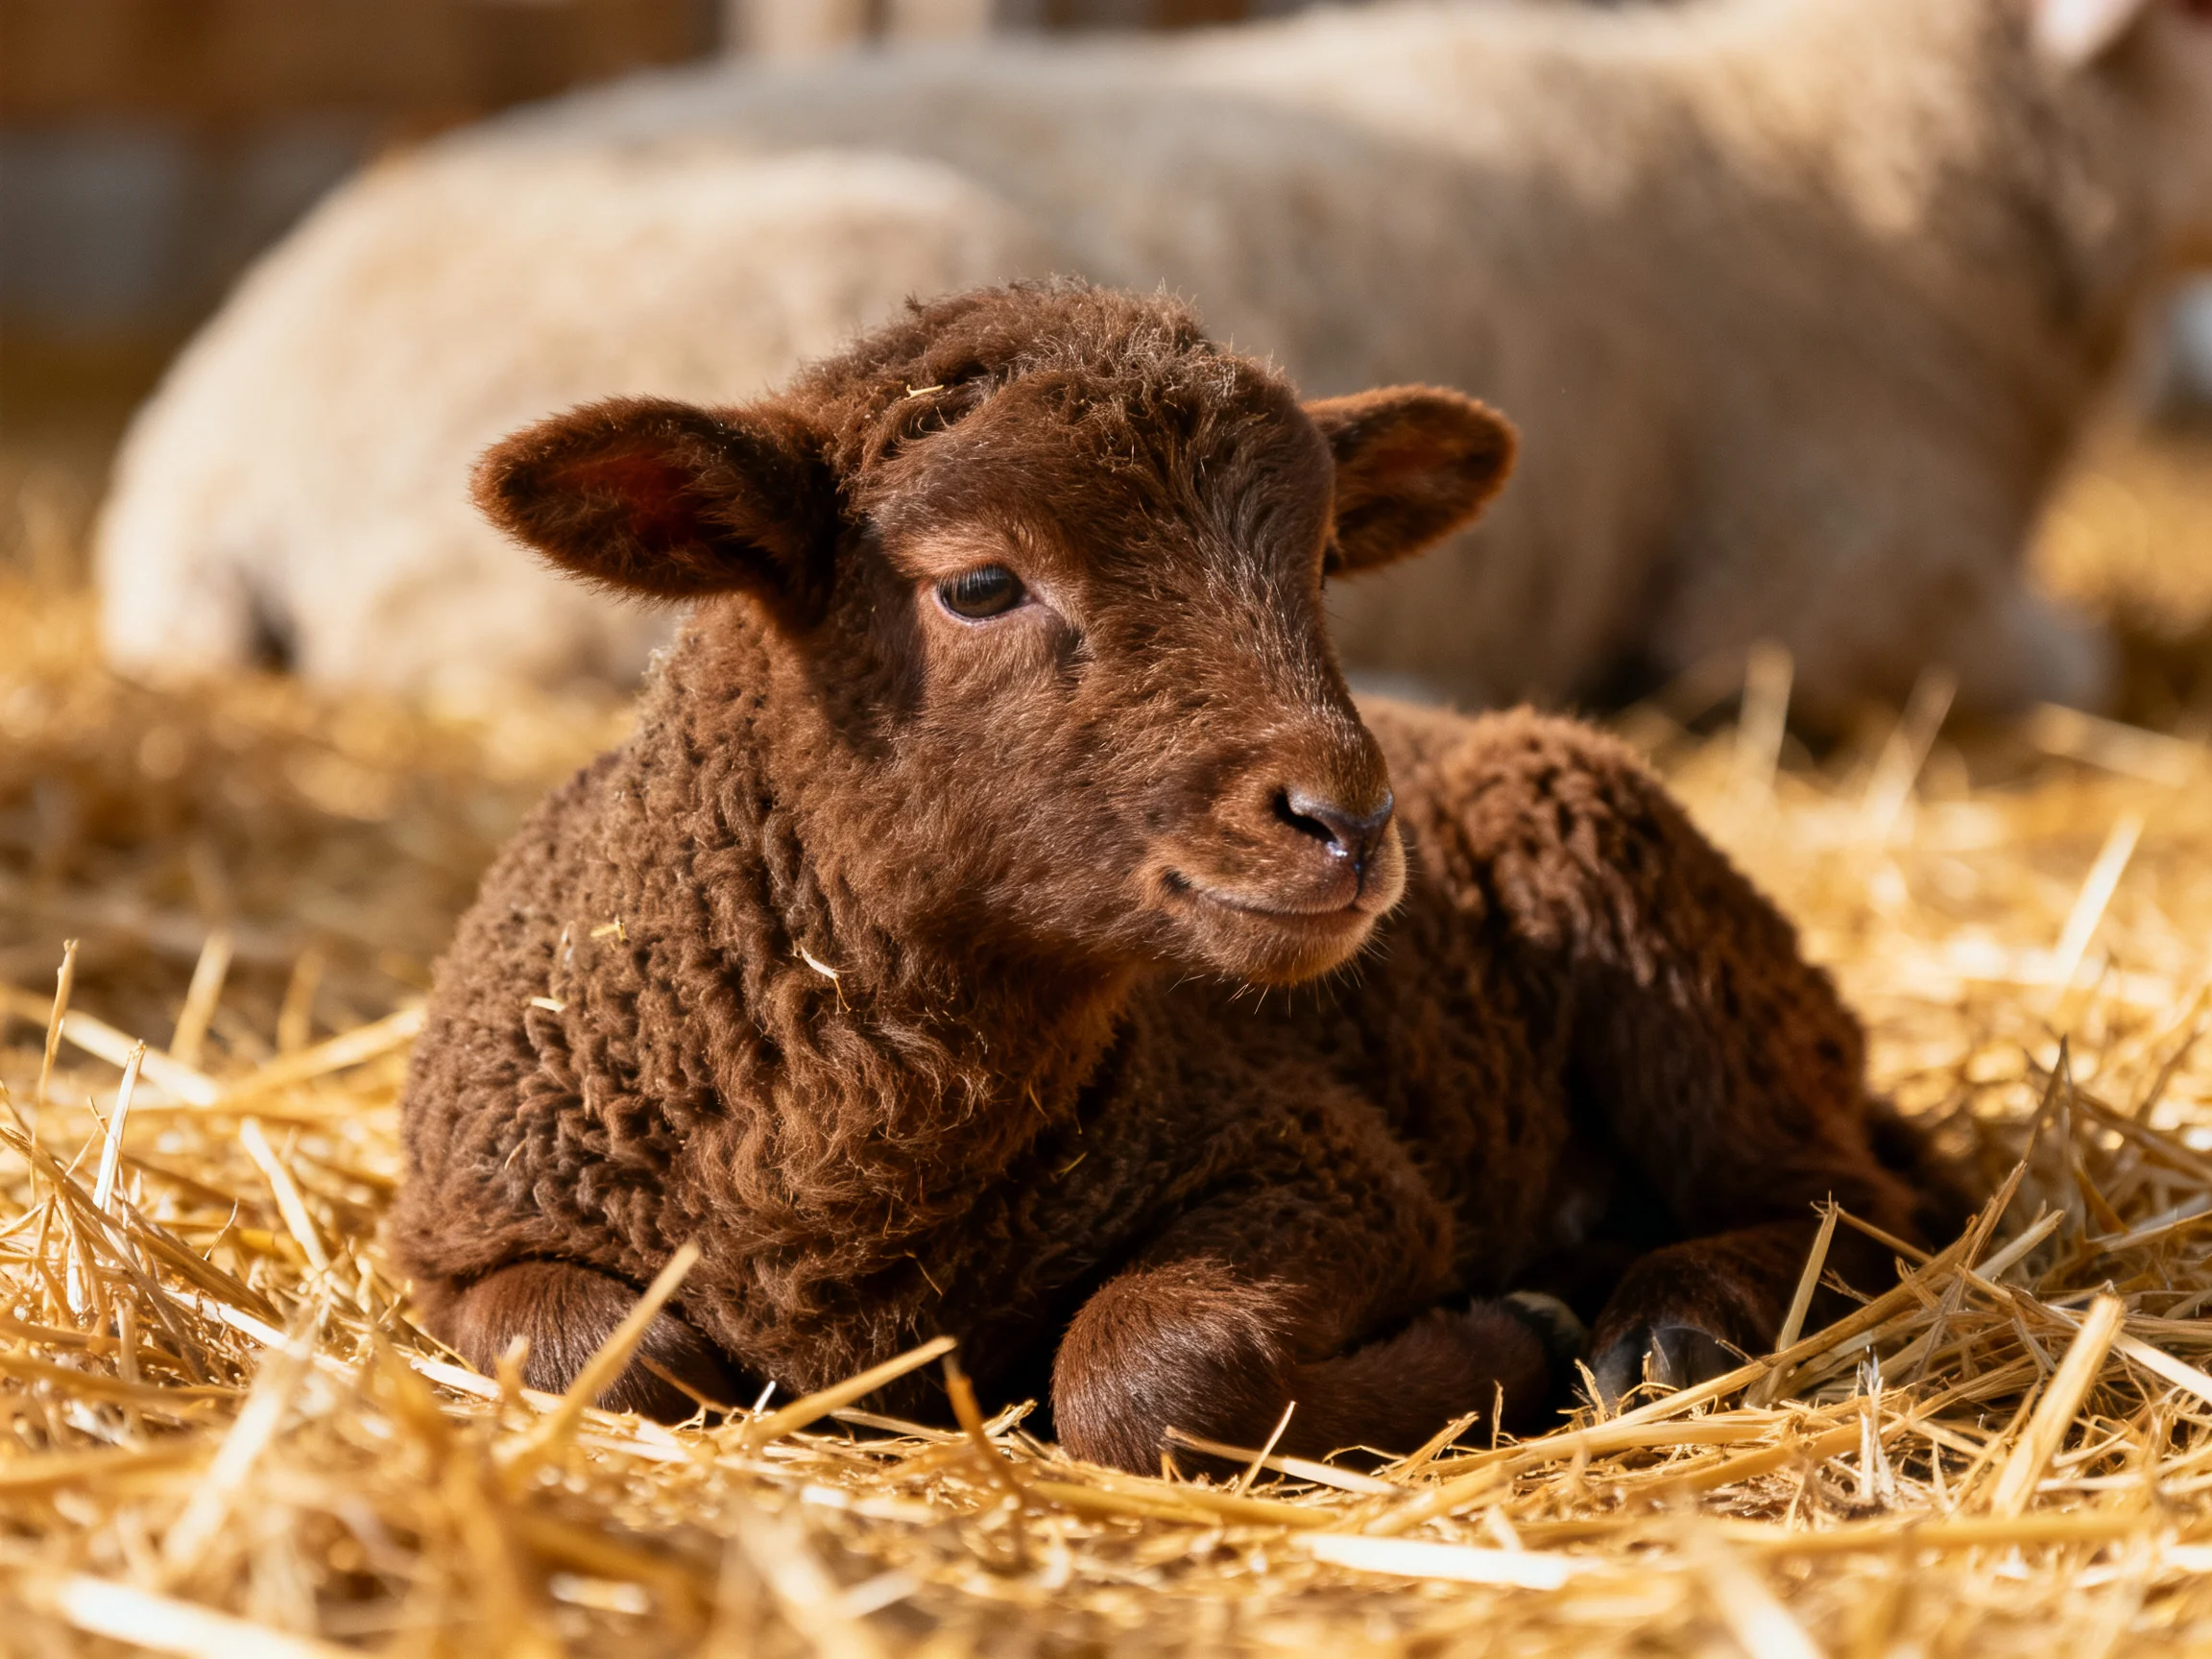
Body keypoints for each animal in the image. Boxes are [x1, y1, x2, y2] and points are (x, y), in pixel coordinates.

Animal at [388, 283, 1963, 1467]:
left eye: (1322, 563)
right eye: (978, 584)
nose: (1349, 820)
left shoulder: (1325, 1161)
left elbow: (1142, 1377)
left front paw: (1510, 1337)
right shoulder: (466, 1241)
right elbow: (601, 1357)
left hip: (1667, 950)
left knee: (1841, 1198)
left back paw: (1668, 1324)